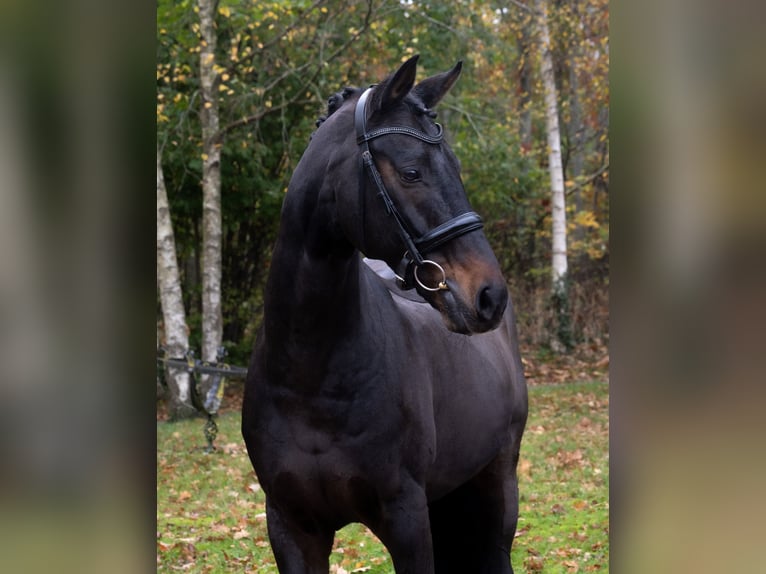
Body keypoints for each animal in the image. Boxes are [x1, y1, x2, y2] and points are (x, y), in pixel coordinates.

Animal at [243, 55, 532, 574]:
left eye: (456, 167)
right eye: (412, 171)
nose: (488, 296)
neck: (310, 376)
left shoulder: (406, 520)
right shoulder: (291, 528)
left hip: (497, 487)